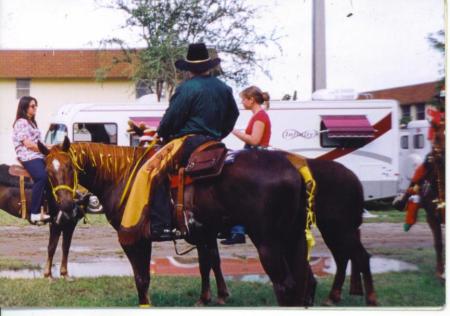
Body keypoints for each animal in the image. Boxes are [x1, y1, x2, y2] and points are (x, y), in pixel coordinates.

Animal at [37, 138, 316, 306]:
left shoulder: (135, 239)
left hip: (269, 242)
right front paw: (210, 297)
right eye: (48, 171)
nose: (65, 206)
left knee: (285, 285)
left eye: (70, 169)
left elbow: (142, 278)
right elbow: (208, 263)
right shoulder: (203, 233)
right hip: (294, 238)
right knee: (306, 281)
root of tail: (294, 170)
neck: (123, 174)